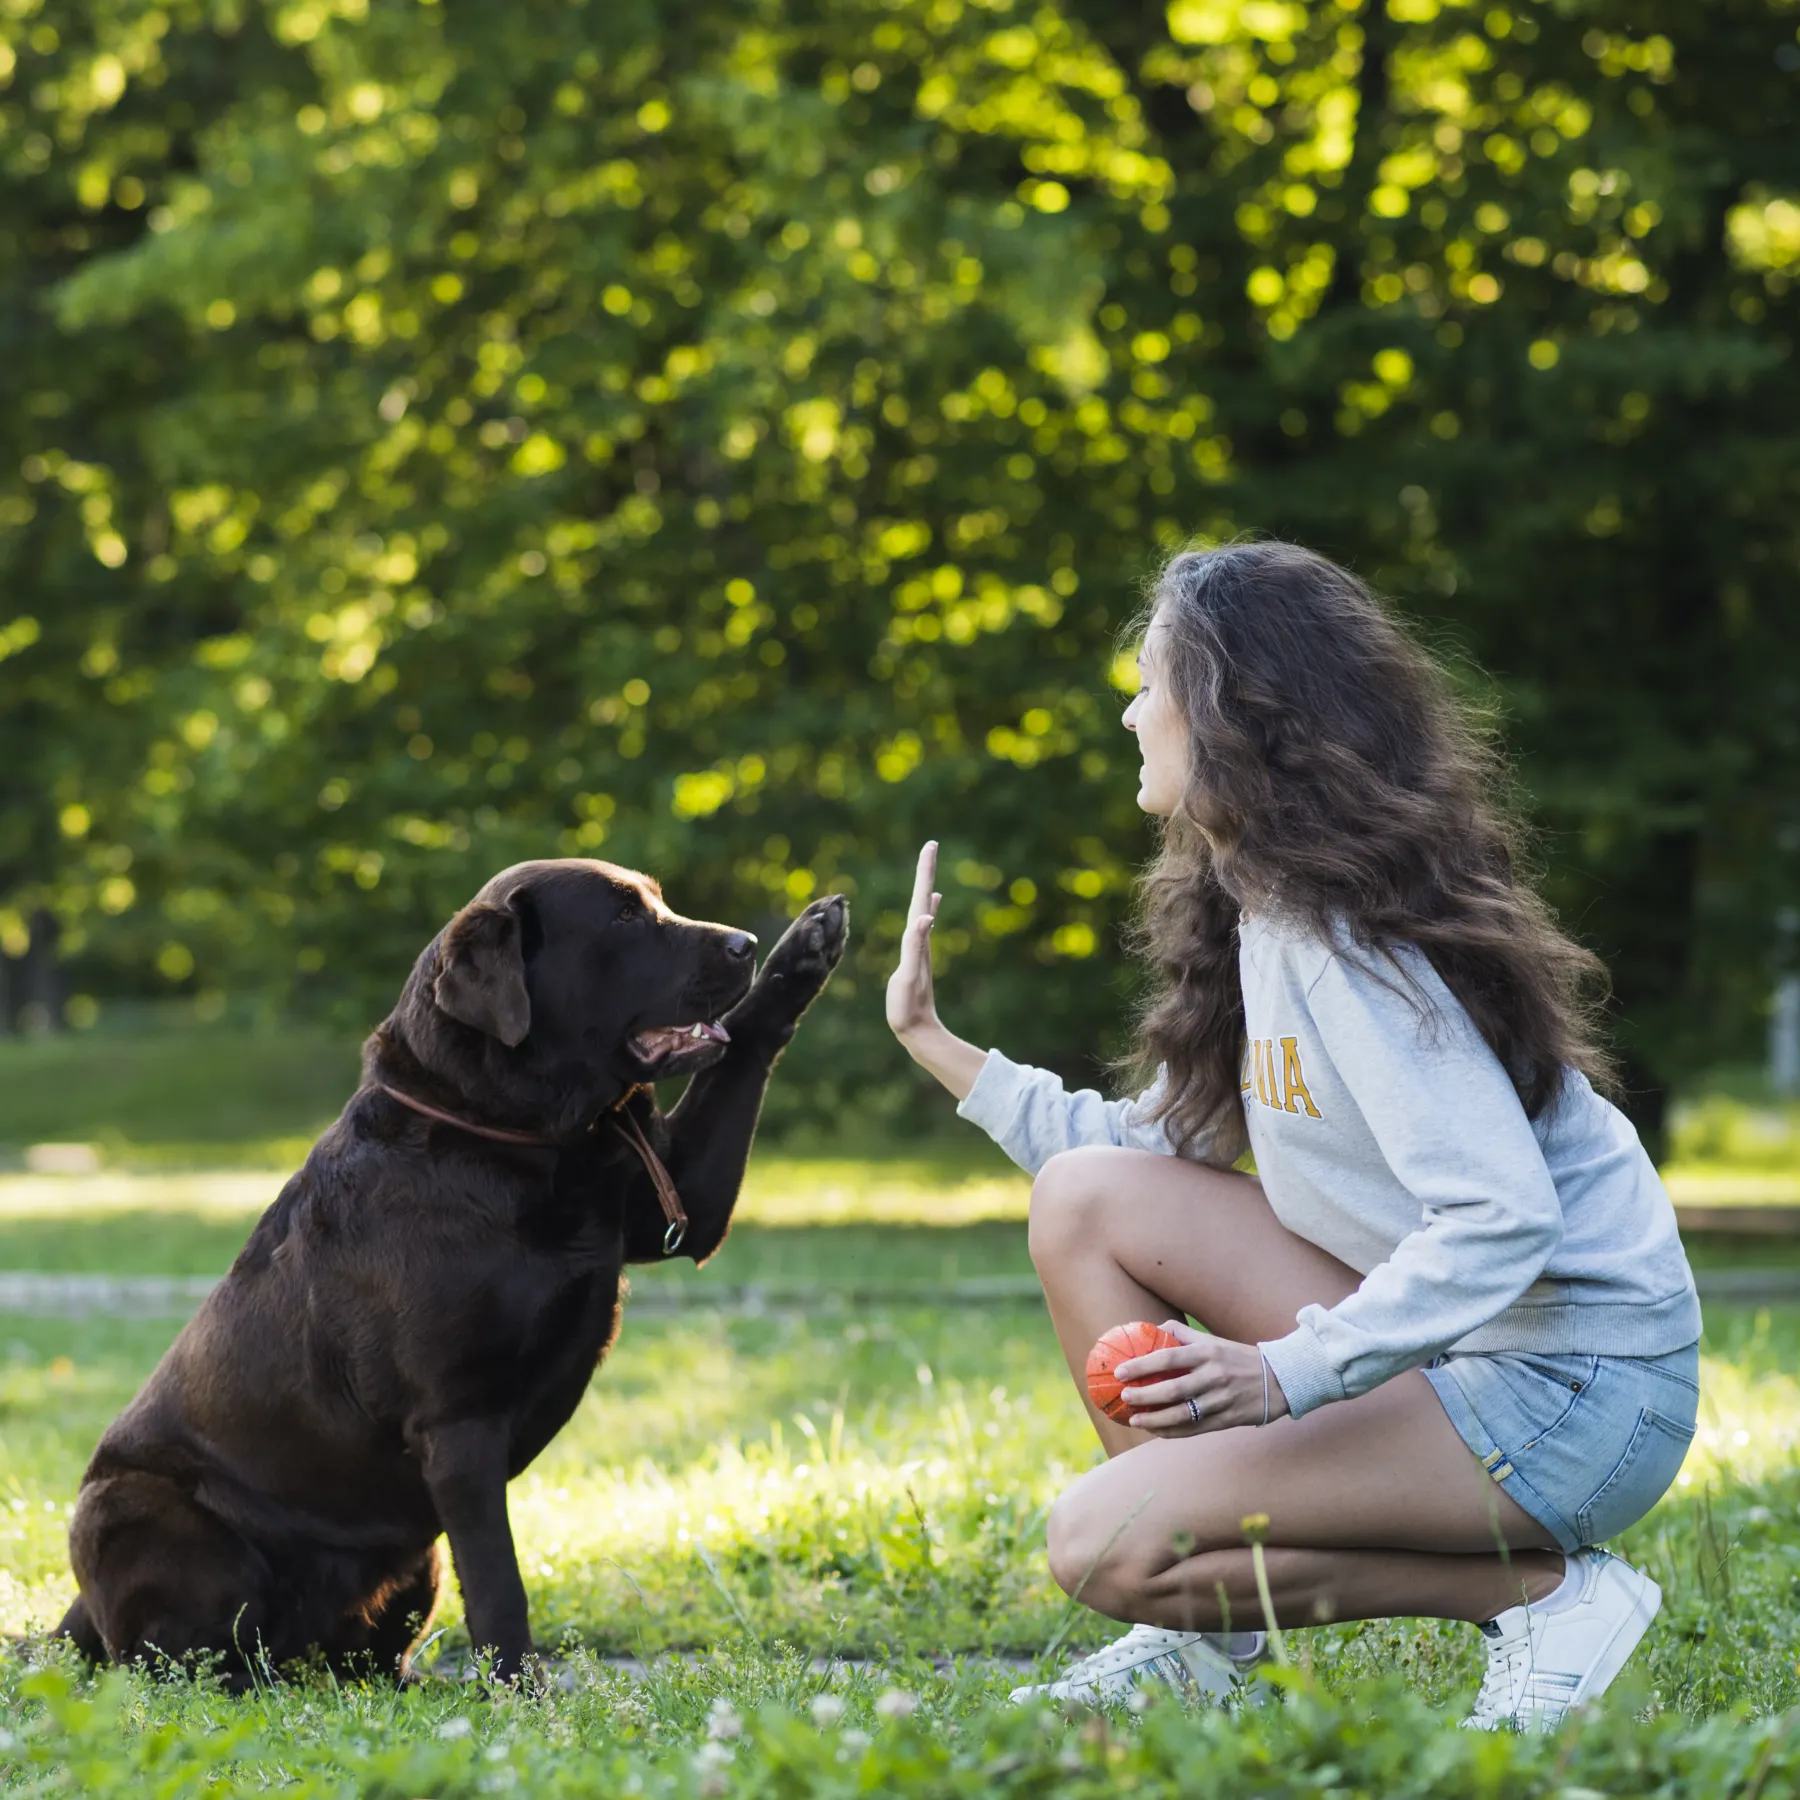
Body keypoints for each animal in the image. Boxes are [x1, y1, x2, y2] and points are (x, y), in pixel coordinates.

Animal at [54, 856, 842, 1684]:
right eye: (625, 917)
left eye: (658, 901)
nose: (743, 942)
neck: (522, 1142)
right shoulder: (459, 1422)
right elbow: (499, 1578)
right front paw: (523, 1692)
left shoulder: (679, 1202)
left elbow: (743, 1048)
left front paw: (806, 949)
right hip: (137, 1511)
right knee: (178, 1661)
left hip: (412, 1567)